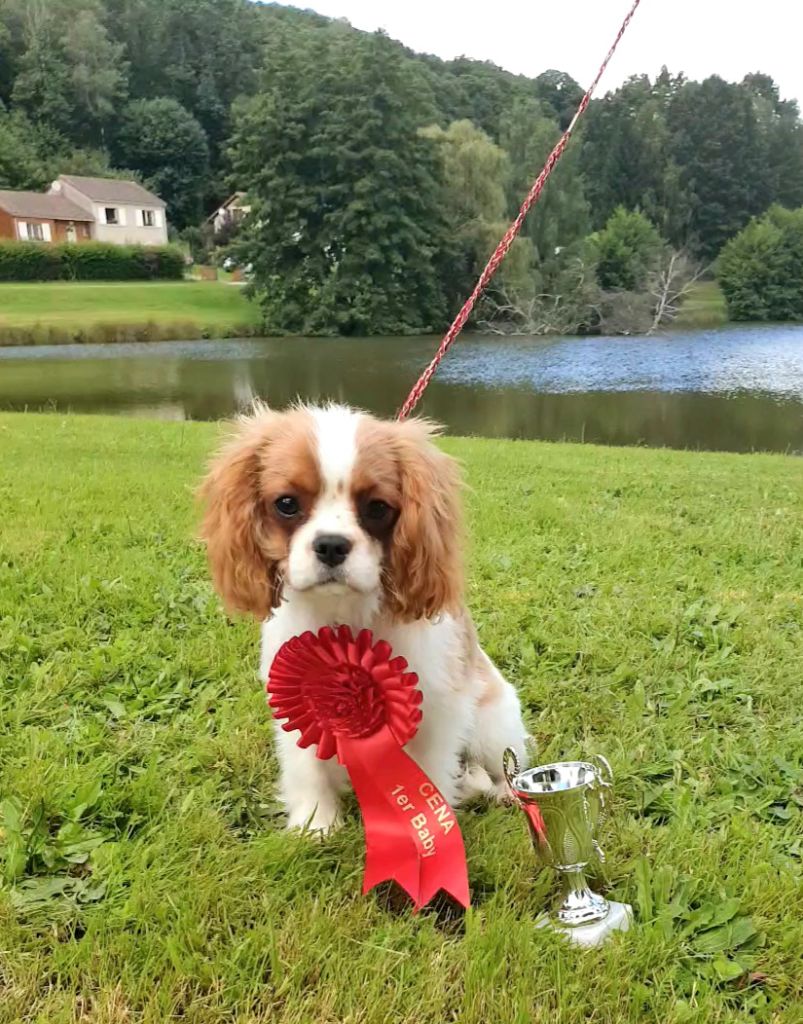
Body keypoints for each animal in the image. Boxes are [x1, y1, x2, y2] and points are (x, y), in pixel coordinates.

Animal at [198, 401, 528, 831]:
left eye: (377, 508)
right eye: (286, 504)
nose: (331, 545)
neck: (344, 613)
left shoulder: (437, 707)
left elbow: (429, 771)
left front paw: (426, 826)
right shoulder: (295, 701)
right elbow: (307, 767)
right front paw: (316, 824)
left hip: (493, 725)